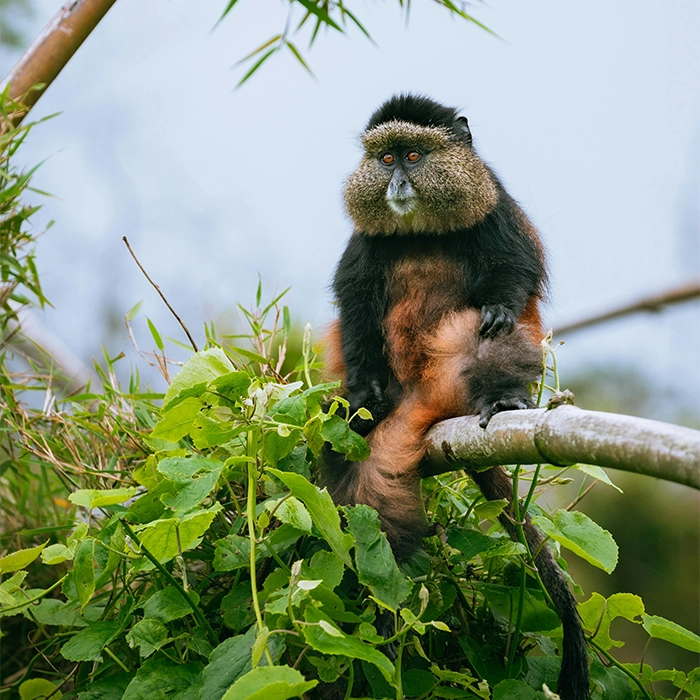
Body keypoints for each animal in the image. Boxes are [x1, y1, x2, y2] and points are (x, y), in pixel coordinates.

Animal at [321, 95, 589, 700]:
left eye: (415, 156)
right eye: (386, 157)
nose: (397, 181)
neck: (421, 228)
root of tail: (422, 398)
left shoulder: (497, 212)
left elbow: (512, 275)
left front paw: (500, 310)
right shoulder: (362, 244)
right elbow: (355, 305)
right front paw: (364, 396)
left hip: (454, 377)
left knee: (483, 334)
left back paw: (503, 397)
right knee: (357, 486)